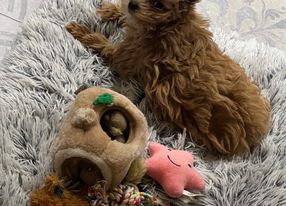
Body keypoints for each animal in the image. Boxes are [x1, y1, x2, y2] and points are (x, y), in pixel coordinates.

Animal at [66, 0, 272, 154]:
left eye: (159, 5)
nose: (133, 4)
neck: (167, 25)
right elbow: (126, 17)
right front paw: (111, 9)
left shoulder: (128, 56)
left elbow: (103, 44)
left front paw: (80, 30)